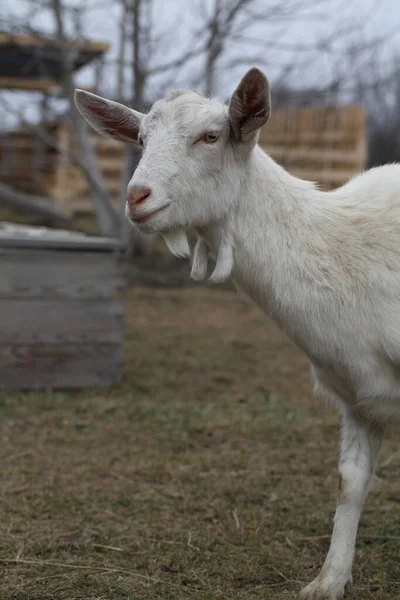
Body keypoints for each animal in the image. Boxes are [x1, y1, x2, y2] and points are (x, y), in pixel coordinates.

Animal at [76, 68, 400, 596]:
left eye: (211, 136)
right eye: (141, 138)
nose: (136, 197)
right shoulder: (357, 395)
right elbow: (349, 483)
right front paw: (328, 581)